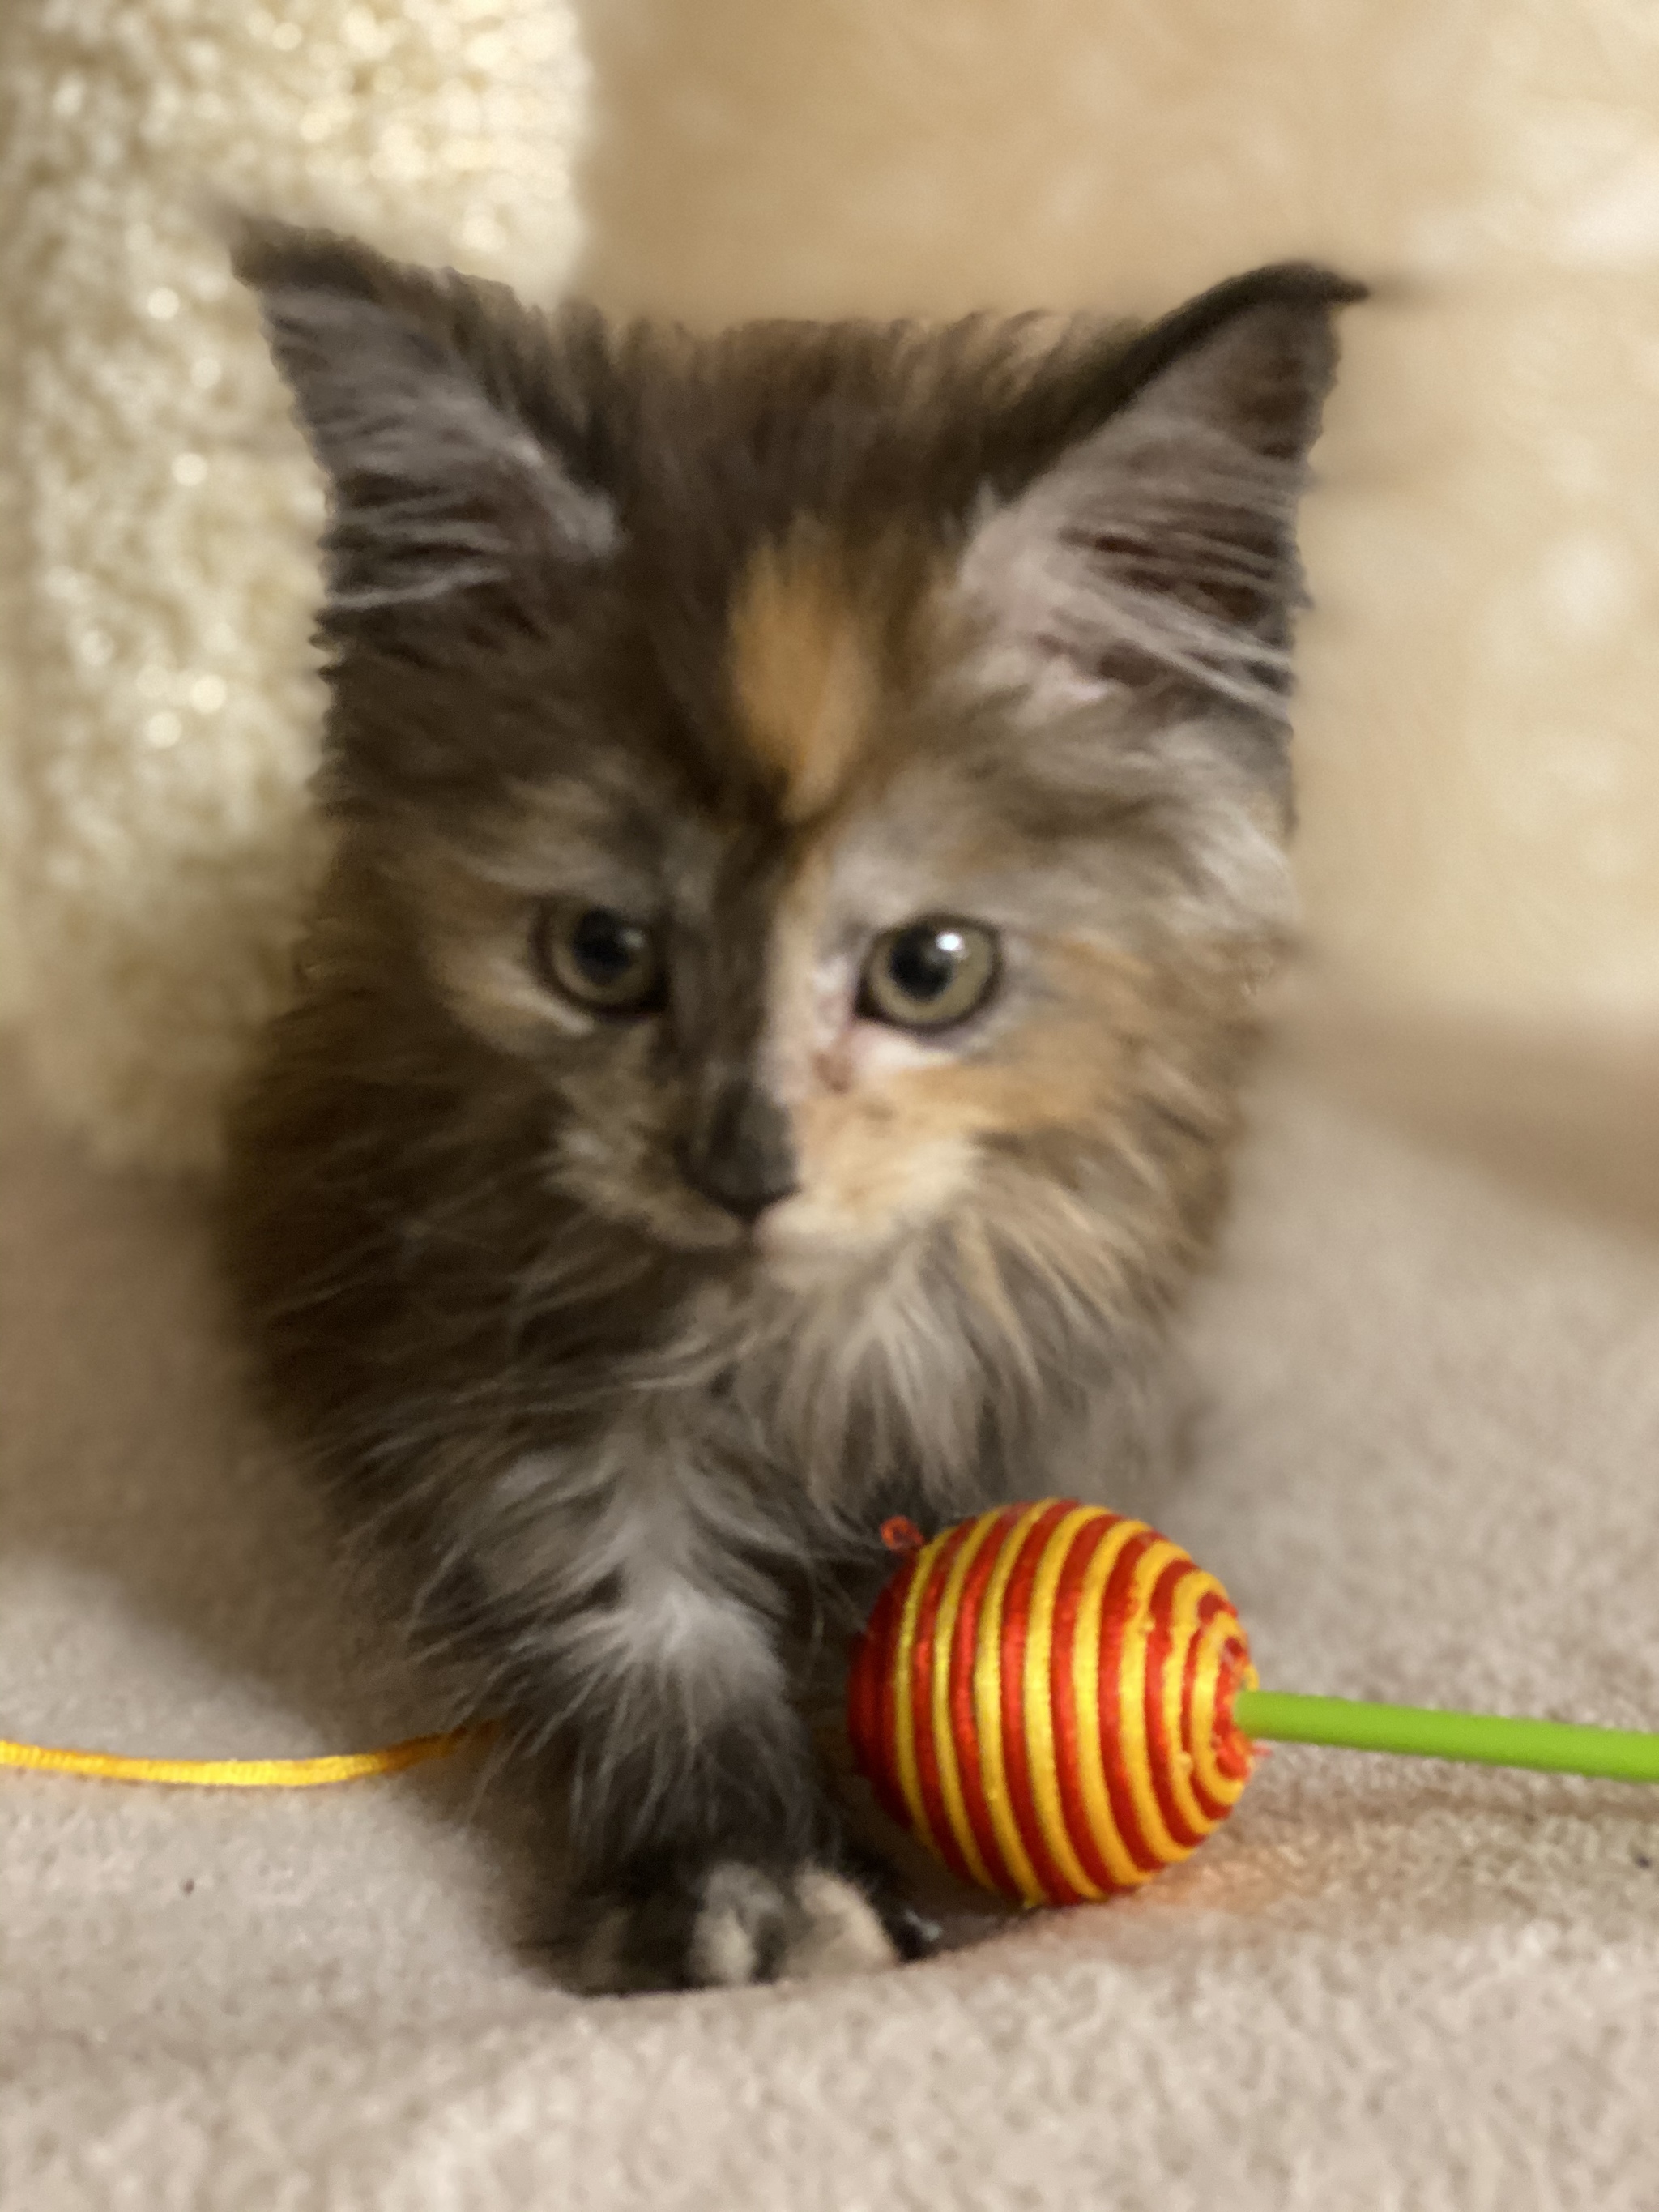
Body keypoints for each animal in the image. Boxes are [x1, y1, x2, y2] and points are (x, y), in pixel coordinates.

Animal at [224, 220, 1363, 1991]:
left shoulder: (1077, 1331)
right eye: (602, 954)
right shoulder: (471, 1346)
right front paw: (746, 1873)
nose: (741, 1168)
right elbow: (633, 1610)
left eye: (931, 971)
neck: (802, 1330)